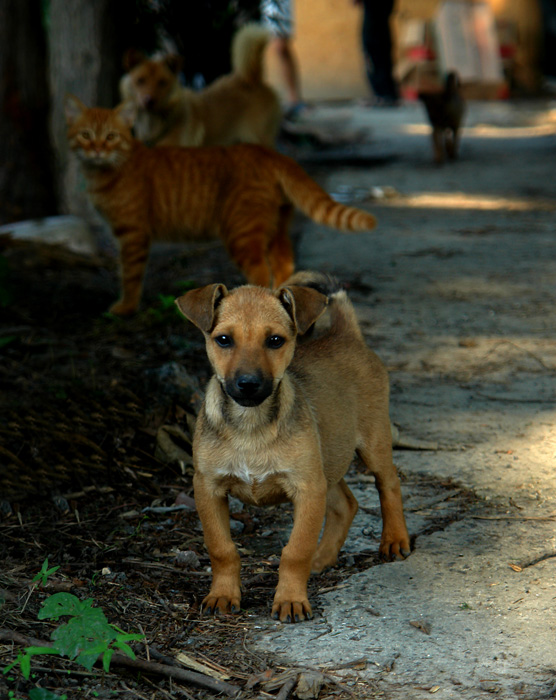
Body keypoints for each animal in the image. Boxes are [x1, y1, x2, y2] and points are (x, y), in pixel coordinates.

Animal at [65, 93, 378, 314]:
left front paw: (126, 308)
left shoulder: (132, 234)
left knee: (261, 273)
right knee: (284, 266)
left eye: (110, 137)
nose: (96, 150)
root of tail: (267, 151)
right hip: (276, 231)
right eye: (85, 135)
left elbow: (129, 275)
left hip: (241, 235)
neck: (107, 171)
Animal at [176, 270, 410, 620]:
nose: (248, 384)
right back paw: (322, 558)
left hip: (372, 442)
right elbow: (221, 548)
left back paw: (394, 540)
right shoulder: (208, 487)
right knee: (347, 504)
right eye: (223, 339)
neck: (251, 424)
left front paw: (290, 600)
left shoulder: (306, 488)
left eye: (275, 340)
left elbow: (295, 550)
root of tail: (345, 335)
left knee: (389, 484)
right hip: (327, 462)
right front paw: (223, 595)